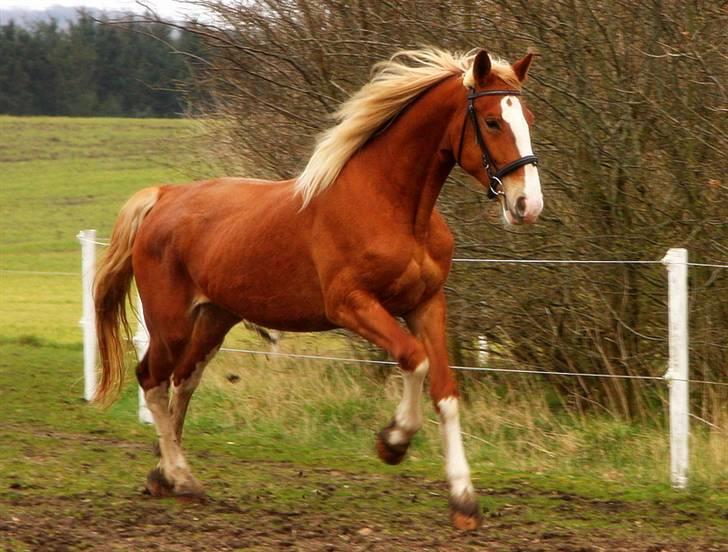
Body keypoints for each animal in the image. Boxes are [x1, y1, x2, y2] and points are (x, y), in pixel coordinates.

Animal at [94, 48, 544, 532]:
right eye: (492, 121)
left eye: (528, 117)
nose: (527, 205)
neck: (393, 207)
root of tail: (163, 197)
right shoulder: (352, 305)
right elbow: (414, 359)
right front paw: (393, 442)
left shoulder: (426, 305)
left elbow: (445, 390)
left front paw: (463, 500)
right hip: (171, 323)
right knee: (152, 381)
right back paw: (180, 476)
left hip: (214, 318)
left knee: (183, 381)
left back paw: (164, 475)